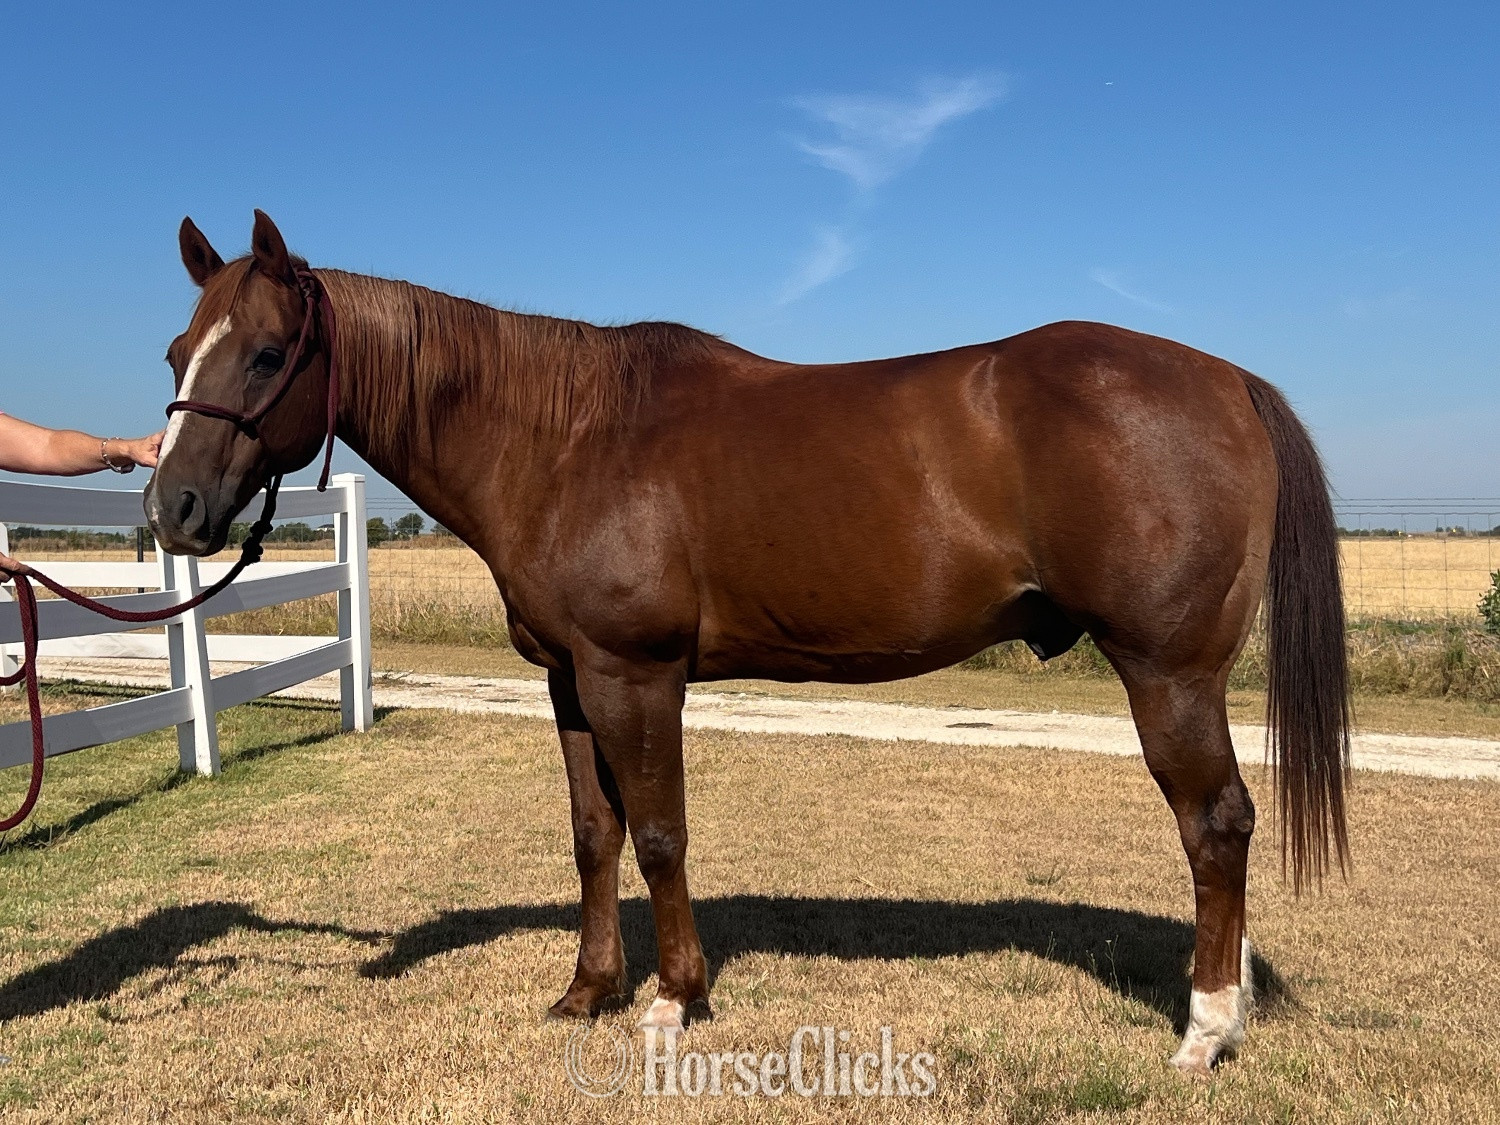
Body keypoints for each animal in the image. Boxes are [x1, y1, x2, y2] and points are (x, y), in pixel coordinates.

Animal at [145, 211, 1349, 1076]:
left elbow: (661, 836)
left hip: (1168, 673)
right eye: (176, 350)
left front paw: (673, 1003)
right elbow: (594, 837)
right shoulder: (572, 684)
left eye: (266, 356)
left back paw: (1205, 1030)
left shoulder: (636, 678)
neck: (563, 438)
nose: (174, 509)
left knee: (1216, 824)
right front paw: (586, 992)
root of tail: (1228, 379)